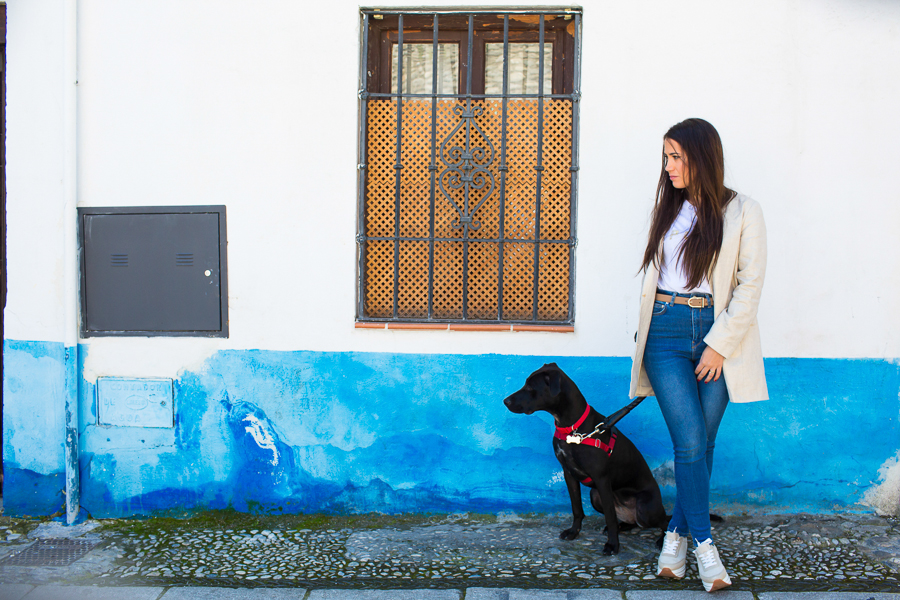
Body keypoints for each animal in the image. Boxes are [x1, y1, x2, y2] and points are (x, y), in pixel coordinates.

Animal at [502, 360, 664, 552]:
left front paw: (612, 544)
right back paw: (623, 526)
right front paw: (574, 532)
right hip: (595, 496)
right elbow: (577, 508)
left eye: (529, 386)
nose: (505, 401)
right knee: (630, 521)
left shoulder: (602, 479)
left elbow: (610, 515)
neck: (571, 427)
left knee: (665, 521)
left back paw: (661, 538)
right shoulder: (568, 473)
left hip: (645, 510)